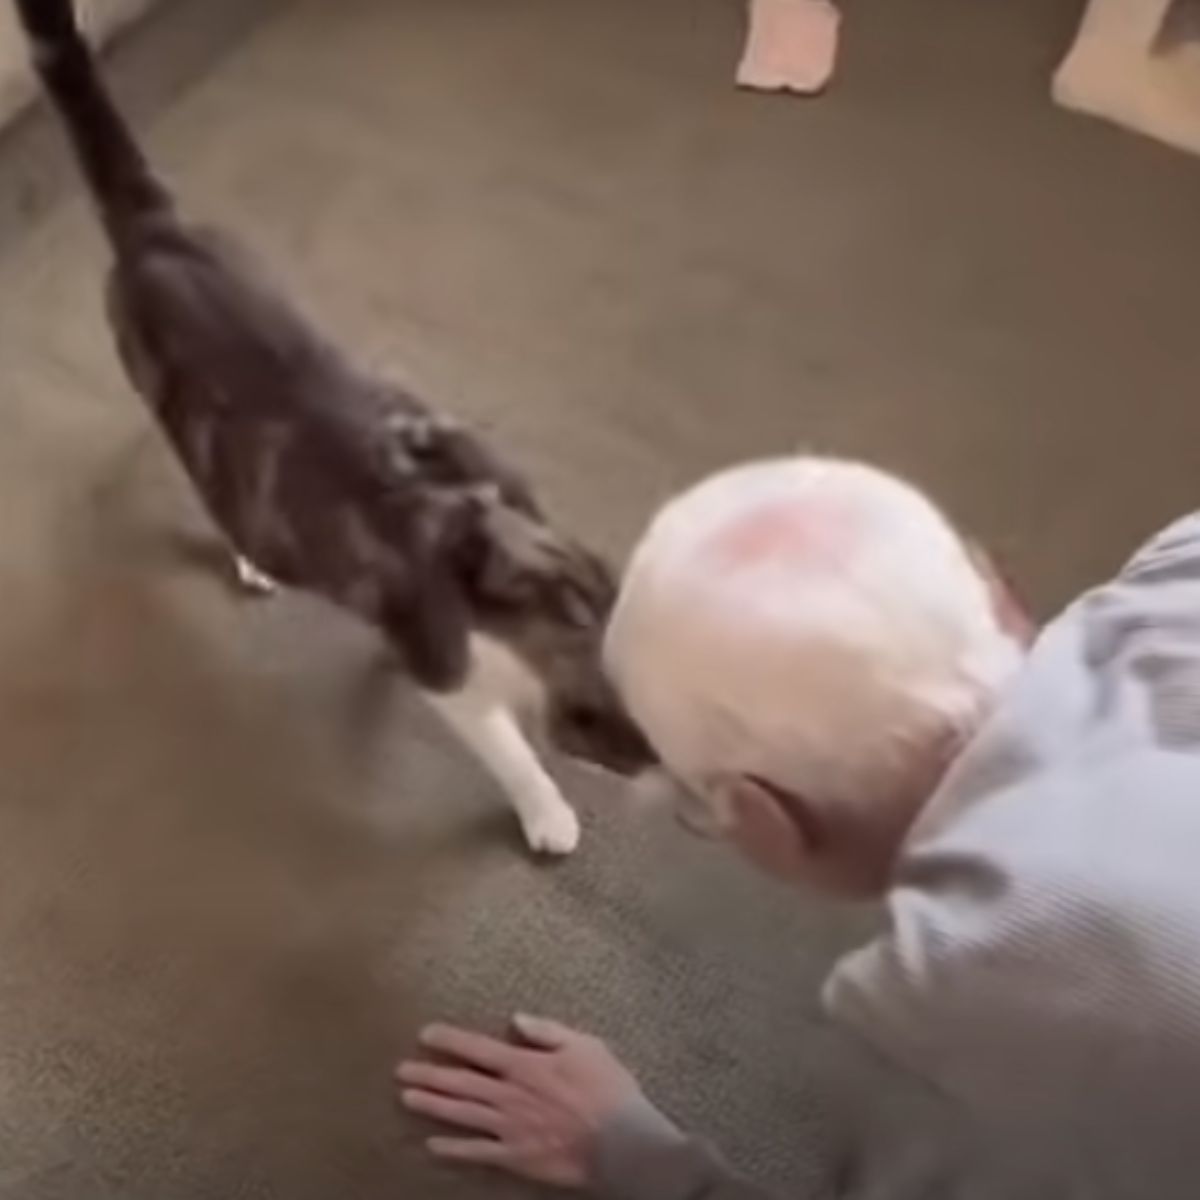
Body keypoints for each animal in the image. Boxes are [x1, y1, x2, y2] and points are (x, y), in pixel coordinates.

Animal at [11, 0, 657, 854]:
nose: (653, 768)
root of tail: (159, 232)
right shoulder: (442, 661)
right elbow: (503, 742)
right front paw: (545, 809)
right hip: (176, 405)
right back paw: (250, 557)